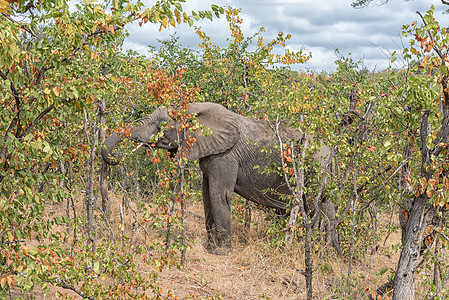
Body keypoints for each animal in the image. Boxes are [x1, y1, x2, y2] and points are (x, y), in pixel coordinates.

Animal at [101, 102, 338, 254]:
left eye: (161, 126)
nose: (116, 158)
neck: (195, 110)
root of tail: (331, 150)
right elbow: (207, 196)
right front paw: (210, 248)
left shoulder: (226, 155)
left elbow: (219, 195)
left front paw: (221, 253)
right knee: (328, 208)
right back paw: (331, 254)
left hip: (315, 168)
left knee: (316, 207)